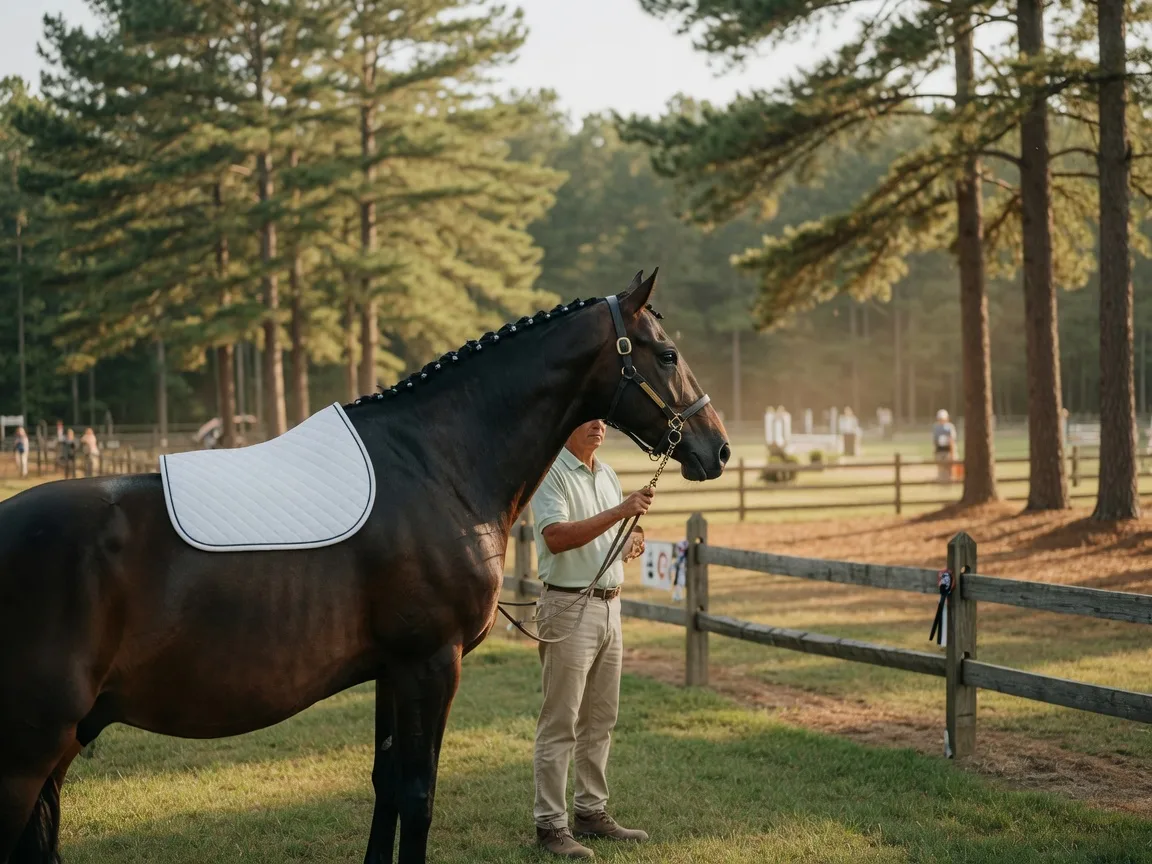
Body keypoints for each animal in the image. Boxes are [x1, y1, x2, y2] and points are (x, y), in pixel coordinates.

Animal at [0, 270, 729, 864]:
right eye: (668, 355)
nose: (716, 447)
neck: (438, 464)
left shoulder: (392, 671)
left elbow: (385, 786)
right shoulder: (431, 663)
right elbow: (417, 794)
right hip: (27, 753)